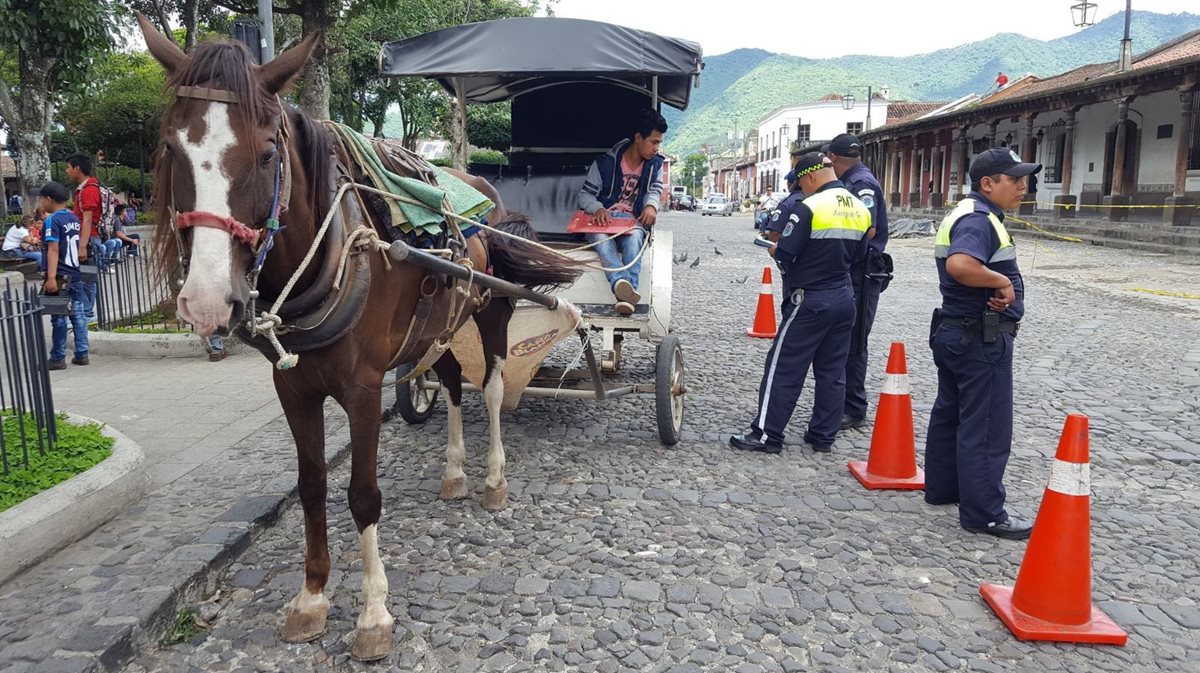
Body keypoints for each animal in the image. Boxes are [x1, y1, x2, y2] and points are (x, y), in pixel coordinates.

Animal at [138, 15, 583, 662]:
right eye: (173, 148)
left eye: (267, 152)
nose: (206, 301)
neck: (329, 254)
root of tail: (481, 188)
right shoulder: (293, 389)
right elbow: (312, 486)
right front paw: (311, 598)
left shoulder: (364, 388)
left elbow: (363, 493)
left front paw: (374, 613)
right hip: (439, 326)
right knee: (453, 384)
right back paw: (454, 472)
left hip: (490, 309)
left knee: (495, 389)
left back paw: (493, 479)